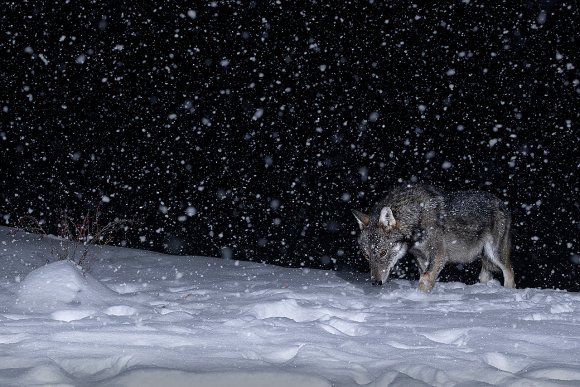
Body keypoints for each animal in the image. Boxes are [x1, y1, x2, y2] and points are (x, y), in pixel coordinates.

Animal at [352, 185, 516, 292]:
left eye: (383, 252)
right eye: (367, 256)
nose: (375, 282)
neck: (416, 216)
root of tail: (502, 204)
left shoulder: (439, 256)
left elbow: (424, 280)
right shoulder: (421, 259)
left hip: (496, 254)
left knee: (510, 273)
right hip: (486, 261)